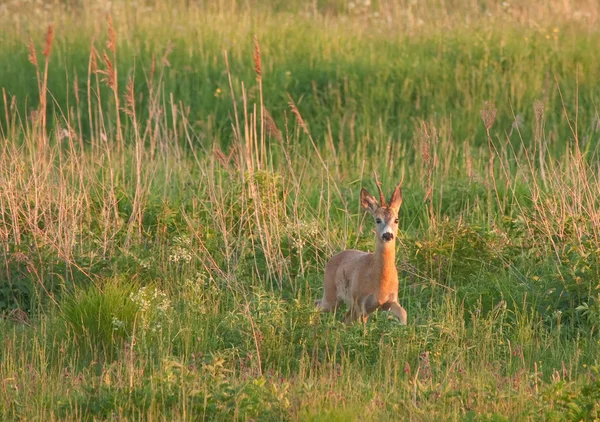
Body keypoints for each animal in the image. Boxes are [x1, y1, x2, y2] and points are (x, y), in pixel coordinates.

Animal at [314, 173, 408, 324]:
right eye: (377, 219)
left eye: (396, 219)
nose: (388, 235)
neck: (380, 281)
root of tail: (333, 258)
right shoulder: (360, 302)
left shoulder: (389, 301)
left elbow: (404, 313)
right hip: (331, 293)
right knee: (318, 305)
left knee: (343, 318)